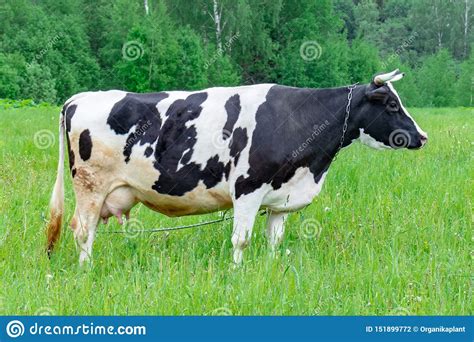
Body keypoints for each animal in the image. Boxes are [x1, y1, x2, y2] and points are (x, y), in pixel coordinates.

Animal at [46, 69, 428, 264]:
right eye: (392, 104)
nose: (422, 137)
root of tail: (80, 97)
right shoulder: (247, 189)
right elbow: (241, 240)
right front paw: (238, 273)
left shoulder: (281, 198)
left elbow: (275, 239)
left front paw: (271, 269)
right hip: (90, 187)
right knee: (82, 231)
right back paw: (86, 270)